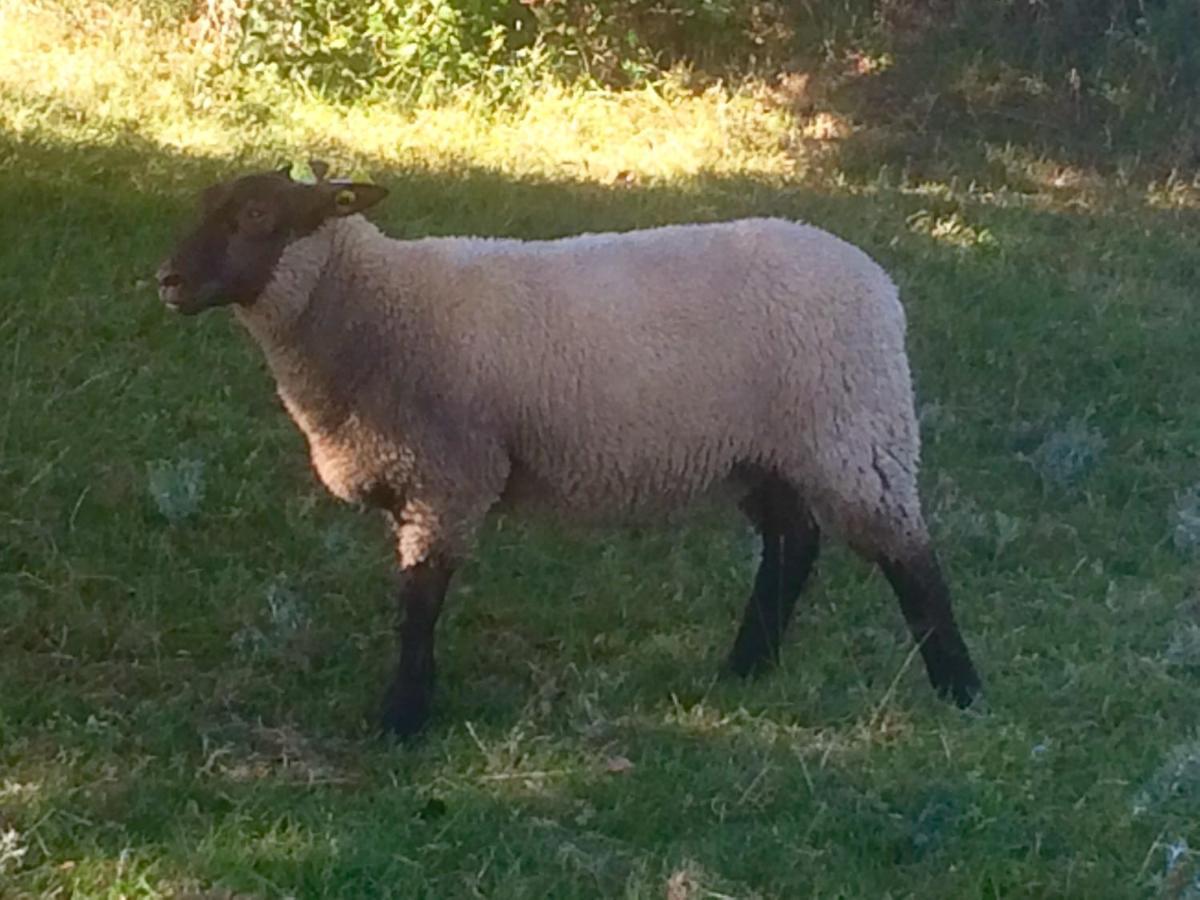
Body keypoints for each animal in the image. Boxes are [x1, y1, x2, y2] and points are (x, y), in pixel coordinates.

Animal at [157, 164, 984, 739]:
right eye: (204, 204)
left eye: (257, 215)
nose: (166, 279)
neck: (369, 305)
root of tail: (873, 276)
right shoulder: (420, 477)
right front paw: (410, 708)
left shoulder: (450, 476)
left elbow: (418, 605)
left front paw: (402, 719)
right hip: (762, 449)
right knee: (794, 542)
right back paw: (746, 669)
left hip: (855, 431)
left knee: (909, 557)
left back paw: (960, 691)